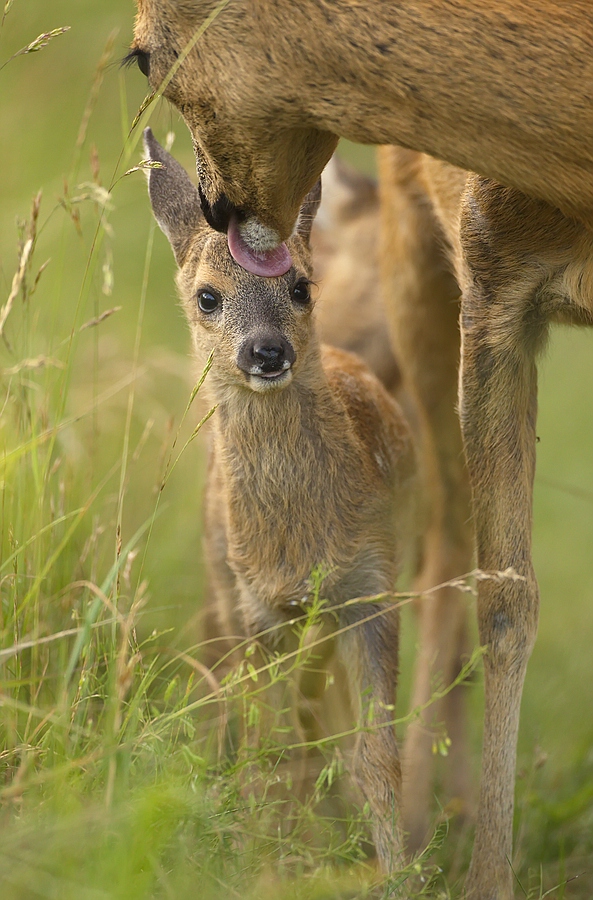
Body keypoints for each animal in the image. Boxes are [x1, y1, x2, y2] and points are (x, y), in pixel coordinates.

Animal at [130, 3, 592, 896]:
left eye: (140, 55)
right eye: (205, 297)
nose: (220, 210)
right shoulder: (491, 283)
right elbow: (503, 595)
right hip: (426, 268)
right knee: (445, 552)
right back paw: (417, 818)